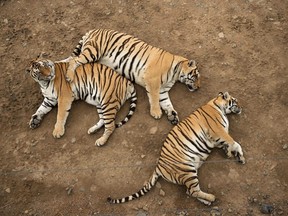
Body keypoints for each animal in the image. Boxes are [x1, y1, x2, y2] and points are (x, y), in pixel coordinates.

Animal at [63, 28, 200, 125]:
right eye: (196, 76)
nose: (198, 88)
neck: (175, 74)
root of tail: (92, 30)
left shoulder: (163, 90)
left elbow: (166, 102)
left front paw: (172, 116)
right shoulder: (153, 81)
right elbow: (154, 98)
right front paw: (156, 113)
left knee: (70, 59)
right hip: (93, 51)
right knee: (74, 60)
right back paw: (69, 76)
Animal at [107, 92, 245, 205]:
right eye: (235, 101)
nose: (241, 108)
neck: (217, 105)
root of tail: (158, 166)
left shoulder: (215, 139)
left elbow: (230, 144)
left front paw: (234, 155)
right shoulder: (218, 131)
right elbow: (234, 142)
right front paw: (236, 154)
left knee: (190, 191)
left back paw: (207, 201)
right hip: (187, 170)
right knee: (193, 191)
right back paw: (211, 198)